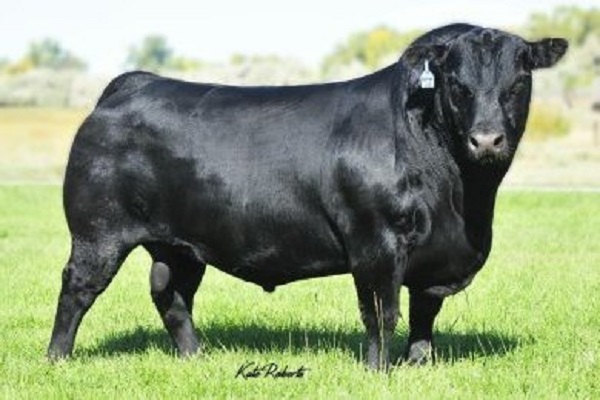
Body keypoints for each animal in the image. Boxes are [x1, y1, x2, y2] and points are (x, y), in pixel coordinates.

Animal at [47, 24, 567, 370]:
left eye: (518, 83)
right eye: (457, 86)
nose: (487, 140)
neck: (462, 201)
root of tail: (134, 84)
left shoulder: (436, 255)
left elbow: (423, 313)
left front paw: (420, 363)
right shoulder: (375, 244)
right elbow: (382, 313)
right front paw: (378, 371)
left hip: (179, 244)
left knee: (170, 294)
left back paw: (196, 357)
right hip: (98, 232)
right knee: (78, 289)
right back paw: (57, 358)